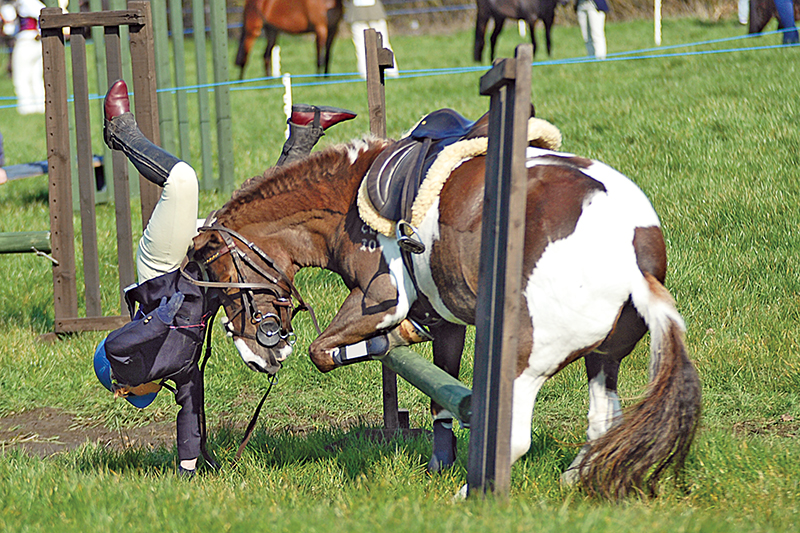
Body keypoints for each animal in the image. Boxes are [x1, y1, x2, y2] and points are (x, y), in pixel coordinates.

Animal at [187, 111, 701, 499]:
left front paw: (395, 339)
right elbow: (441, 392)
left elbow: (326, 351)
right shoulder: (448, 318)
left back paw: (472, 495)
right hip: (603, 356)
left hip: (526, 357)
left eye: (224, 283)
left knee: (516, 437)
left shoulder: (381, 300)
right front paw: (439, 460)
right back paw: (573, 477)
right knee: (601, 422)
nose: (258, 356)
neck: (348, 199)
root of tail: (635, 255)